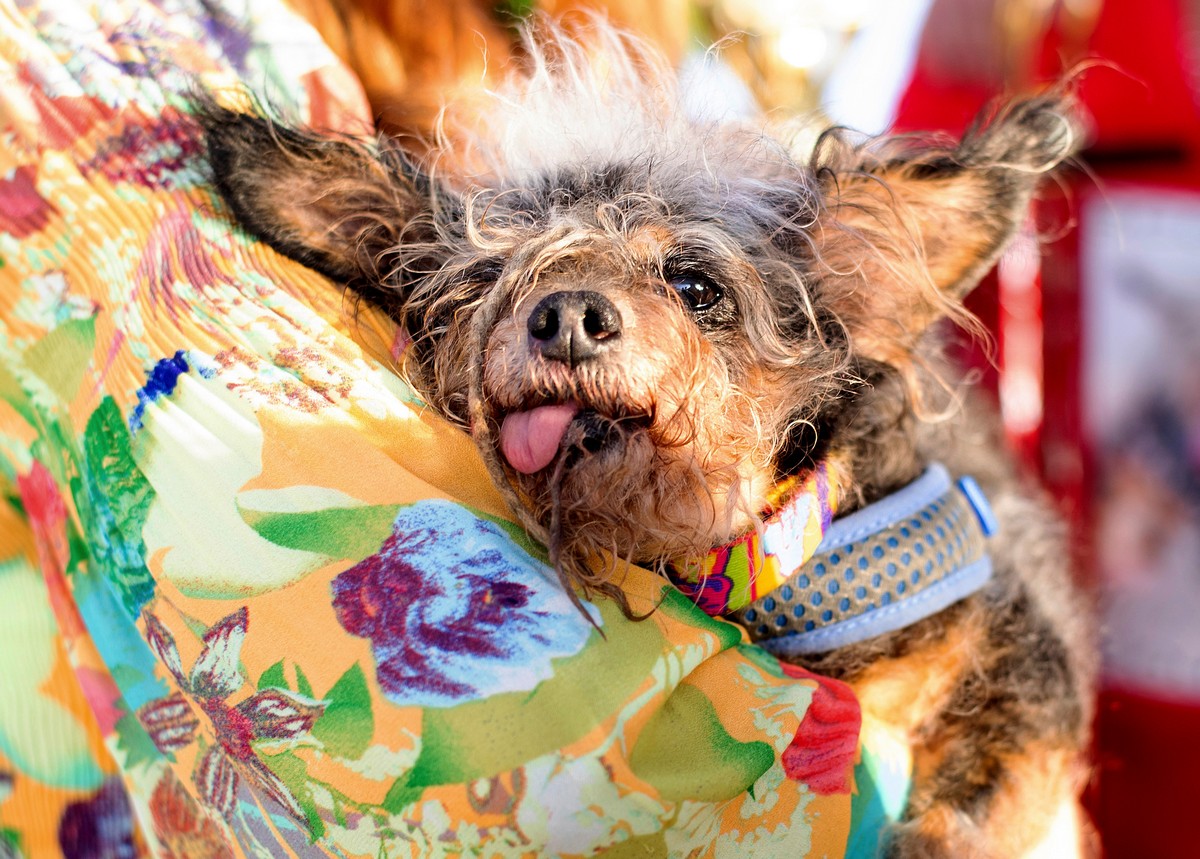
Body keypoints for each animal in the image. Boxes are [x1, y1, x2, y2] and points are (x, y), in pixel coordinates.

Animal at [196, 21, 1099, 858]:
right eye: (487, 283)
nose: (566, 315)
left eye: (695, 286)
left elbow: (979, 808)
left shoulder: (1026, 662)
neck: (757, 564)